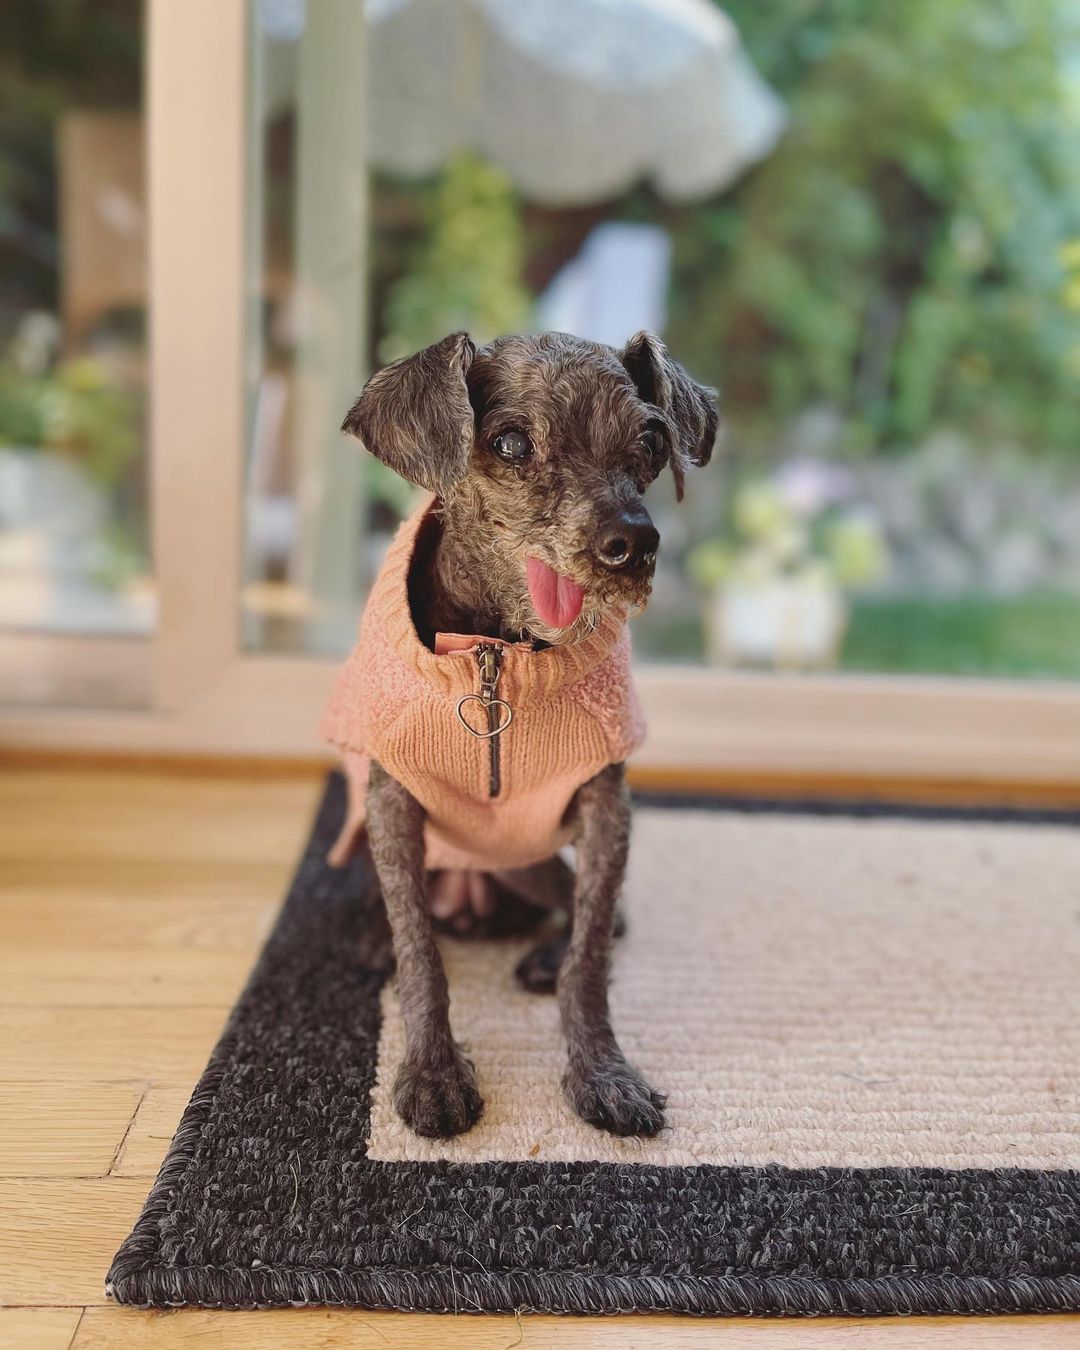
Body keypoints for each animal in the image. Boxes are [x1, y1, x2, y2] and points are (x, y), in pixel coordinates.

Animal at [326, 329, 718, 1139]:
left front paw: (603, 1073)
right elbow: (421, 954)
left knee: (591, 910)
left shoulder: (607, 809)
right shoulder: (391, 804)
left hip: (528, 858)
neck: (499, 652)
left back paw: (542, 957)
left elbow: (592, 952)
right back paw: (374, 940)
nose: (632, 543)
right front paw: (433, 1073)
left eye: (651, 441)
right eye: (509, 443)